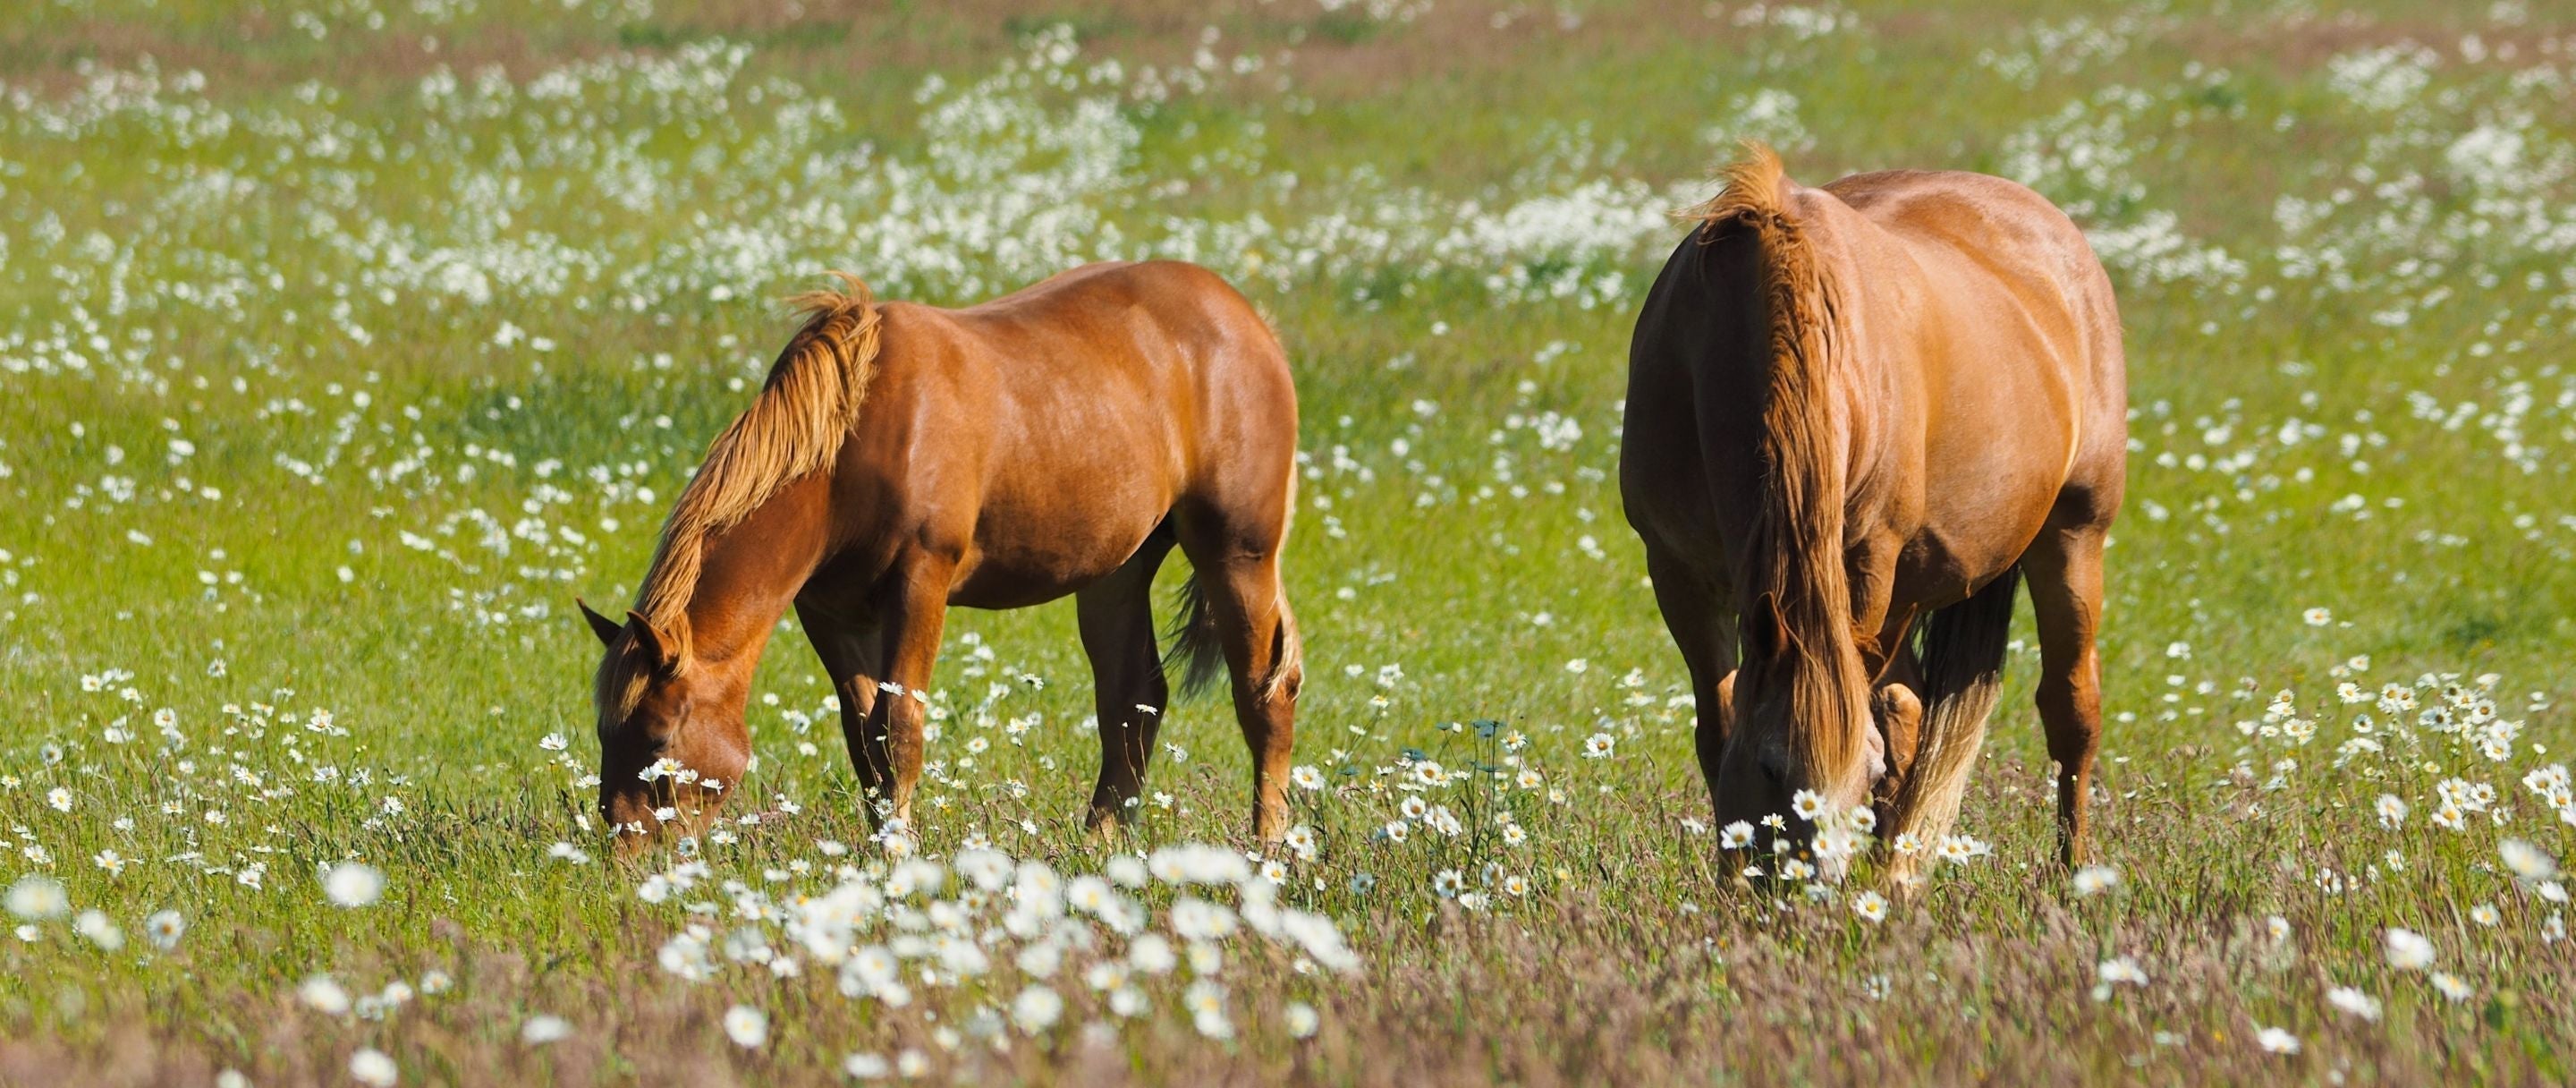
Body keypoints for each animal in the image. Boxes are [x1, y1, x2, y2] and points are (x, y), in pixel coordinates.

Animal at [578, 261, 1304, 855]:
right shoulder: (829, 611)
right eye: (605, 734)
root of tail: (1249, 321)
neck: (855, 442)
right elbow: (862, 736)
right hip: (1115, 570)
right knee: (1133, 697)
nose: (622, 858)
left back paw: (1267, 849)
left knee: (1265, 691)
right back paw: (1099, 844)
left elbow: (898, 729)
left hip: (1238, 553)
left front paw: (897, 855)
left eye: (660, 742)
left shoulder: (921, 582)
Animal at [1620, 145, 2126, 884]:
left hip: (2072, 534)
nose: (1810, 891)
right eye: (1771, 768)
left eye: (1861, 770)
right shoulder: (1677, 570)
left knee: (2067, 712)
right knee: (1910, 707)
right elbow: (1718, 729)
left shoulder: (1867, 563)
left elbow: (1889, 733)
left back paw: (2068, 877)